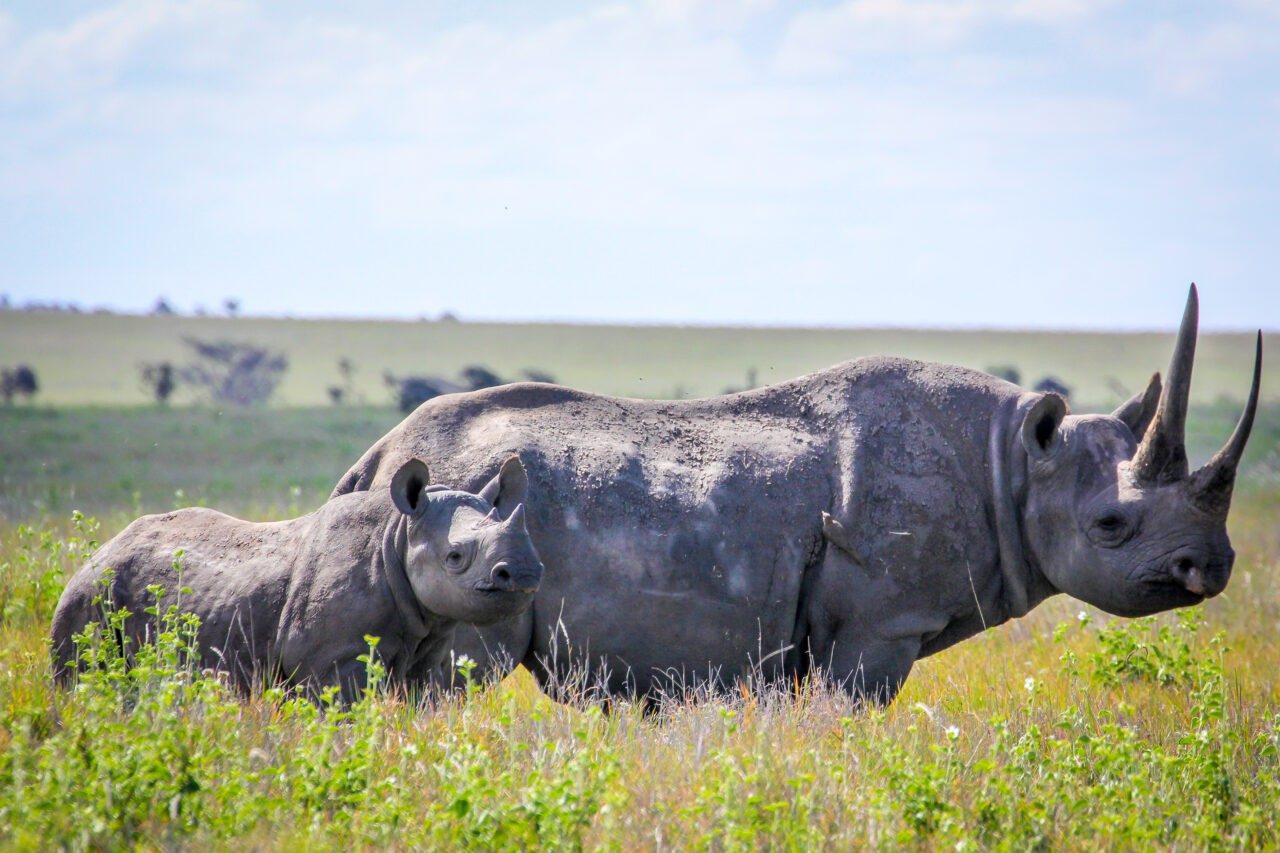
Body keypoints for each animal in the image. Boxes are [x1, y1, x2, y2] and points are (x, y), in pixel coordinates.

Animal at [52, 457, 543, 700]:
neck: (398, 534)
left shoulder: (428, 654)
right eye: (455, 557)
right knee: (82, 674)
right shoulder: (333, 662)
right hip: (92, 593)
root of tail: (101, 549)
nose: (524, 573)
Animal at [331, 288, 1262, 704]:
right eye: (1110, 524)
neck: (1013, 463)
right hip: (462, 539)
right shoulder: (884, 621)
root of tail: (377, 458)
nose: (1210, 568)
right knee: (451, 677)